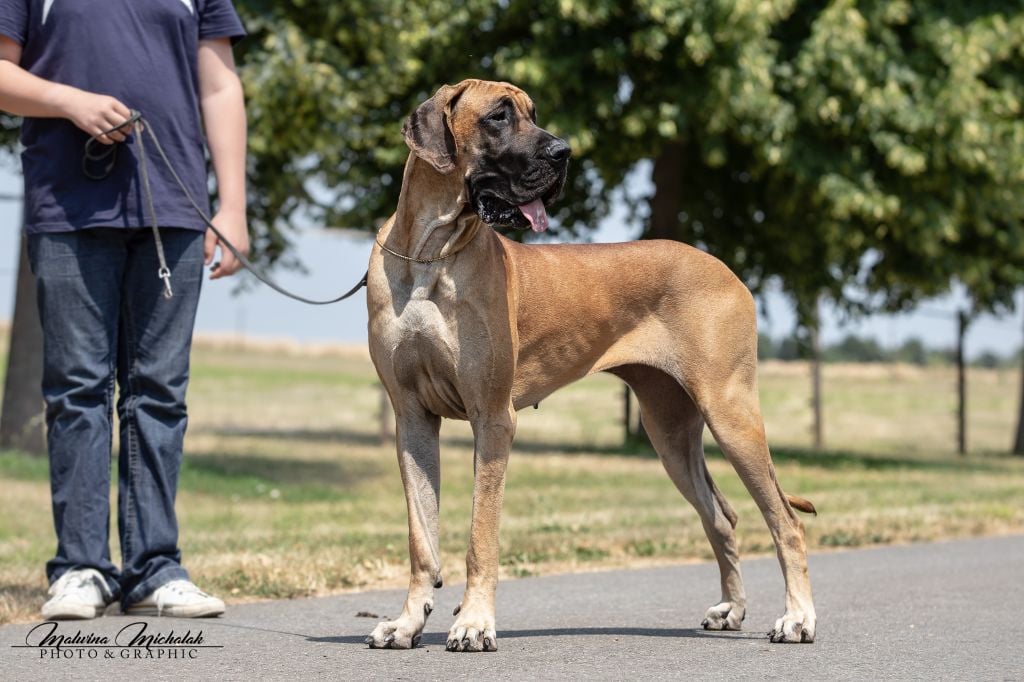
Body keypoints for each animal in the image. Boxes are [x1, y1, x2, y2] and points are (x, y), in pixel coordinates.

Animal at [365, 79, 817, 652]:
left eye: (534, 112)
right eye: (498, 116)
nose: (564, 153)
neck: (430, 254)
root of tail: (727, 270)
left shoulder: (493, 418)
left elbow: (480, 536)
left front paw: (473, 622)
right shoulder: (412, 418)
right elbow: (421, 535)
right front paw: (407, 622)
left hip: (731, 412)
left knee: (785, 521)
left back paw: (798, 618)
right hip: (669, 429)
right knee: (723, 517)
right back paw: (732, 609)